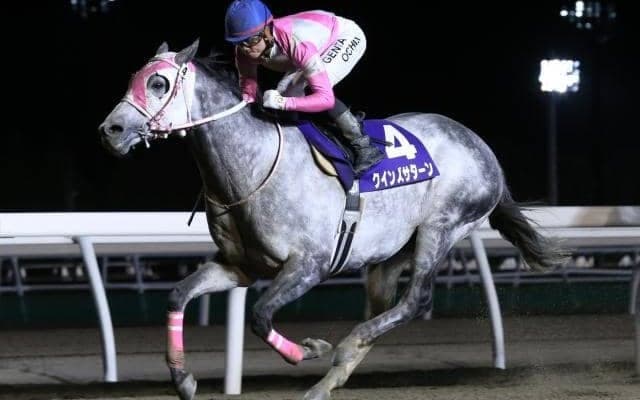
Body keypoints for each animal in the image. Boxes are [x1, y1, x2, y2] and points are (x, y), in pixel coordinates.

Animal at [99, 39, 568, 400]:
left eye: (158, 83)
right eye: (133, 79)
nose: (111, 130)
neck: (251, 165)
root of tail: (482, 148)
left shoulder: (310, 265)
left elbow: (260, 316)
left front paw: (310, 349)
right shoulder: (239, 266)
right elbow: (178, 295)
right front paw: (183, 379)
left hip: (442, 227)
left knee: (415, 300)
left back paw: (343, 349)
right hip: (389, 253)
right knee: (385, 306)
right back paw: (329, 381)